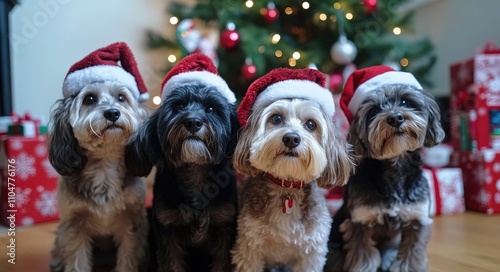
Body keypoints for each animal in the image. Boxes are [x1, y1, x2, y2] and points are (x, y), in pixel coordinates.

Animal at [124, 53, 238, 272]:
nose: (193, 122)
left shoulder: (224, 226)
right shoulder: (167, 230)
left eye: (211, 108)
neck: (195, 172)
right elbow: (171, 264)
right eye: (179, 107)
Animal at [232, 68, 354, 272]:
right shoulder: (249, 249)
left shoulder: (311, 254)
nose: (291, 138)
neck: (286, 188)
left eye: (311, 124)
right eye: (276, 118)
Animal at [324, 67, 446, 270]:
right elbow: (364, 260)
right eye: (374, 110)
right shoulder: (359, 222)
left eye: (405, 101)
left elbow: (410, 257)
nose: (395, 118)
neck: (394, 169)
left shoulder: (416, 220)